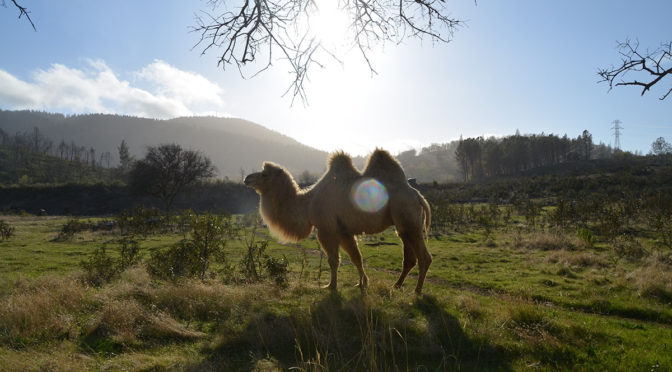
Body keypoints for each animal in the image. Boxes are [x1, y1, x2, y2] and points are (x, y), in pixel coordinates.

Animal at [244, 148, 434, 294]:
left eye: (264, 173)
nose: (247, 178)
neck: (307, 203)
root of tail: (417, 195)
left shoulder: (327, 229)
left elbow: (333, 260)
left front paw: (330, 286)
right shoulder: (343, 230)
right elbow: (356, 257)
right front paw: (362, 283)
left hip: (408, 217)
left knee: (424, 257)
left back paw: (416, 291)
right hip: (403, 225)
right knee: (409, 257)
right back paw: (396, 286)